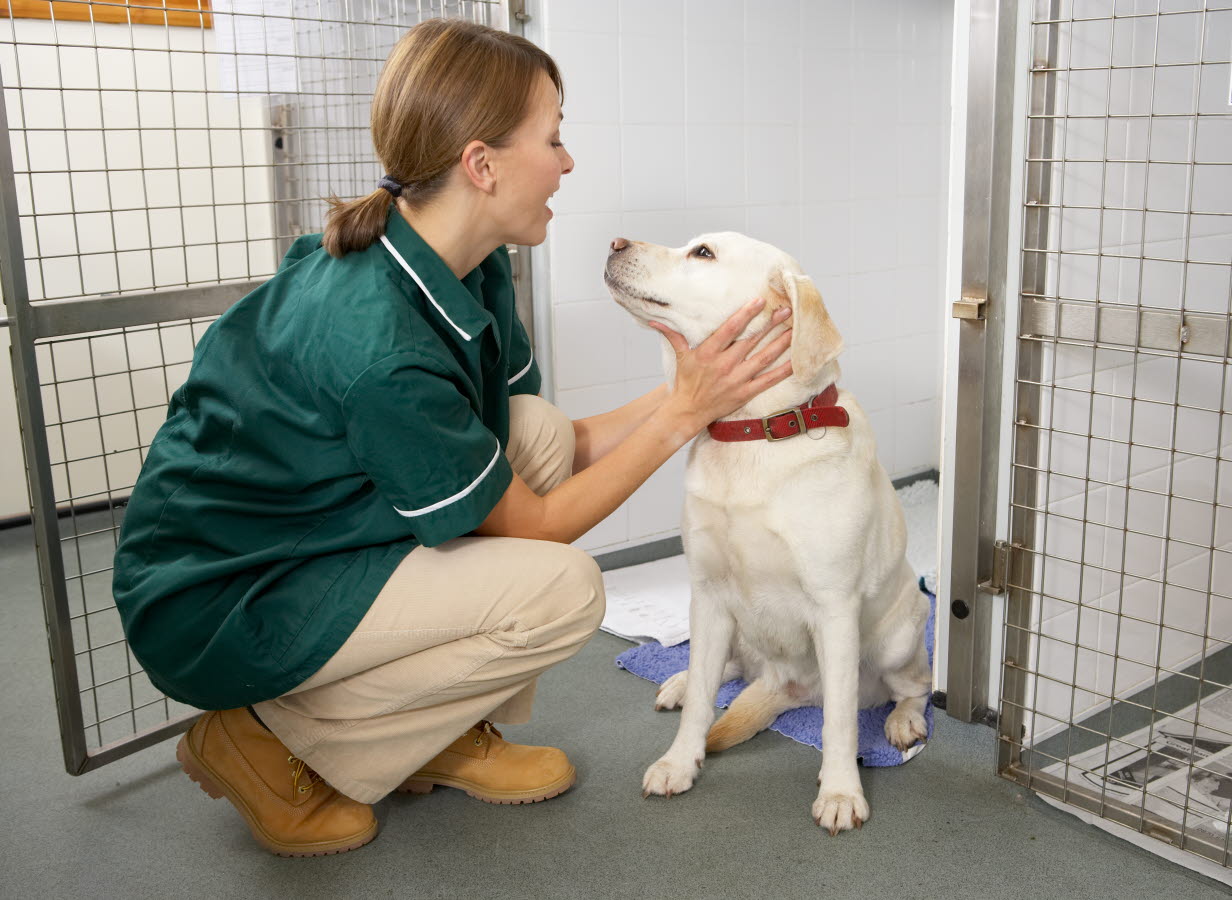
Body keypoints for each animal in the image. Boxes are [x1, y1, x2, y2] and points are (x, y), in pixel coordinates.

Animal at [601, 233, 926, 837]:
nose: (615, 242)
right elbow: (704, 702)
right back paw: (678, 682)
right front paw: (680, 762)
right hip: (729, 627)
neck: (753, 433)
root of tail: (784, 683)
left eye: (702, 253)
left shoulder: (834, 608)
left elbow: (840, 722)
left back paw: (902, 722)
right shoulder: (706, 594)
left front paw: (841, 792)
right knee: (717, 671)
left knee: (915, 686)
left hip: (898, 638)